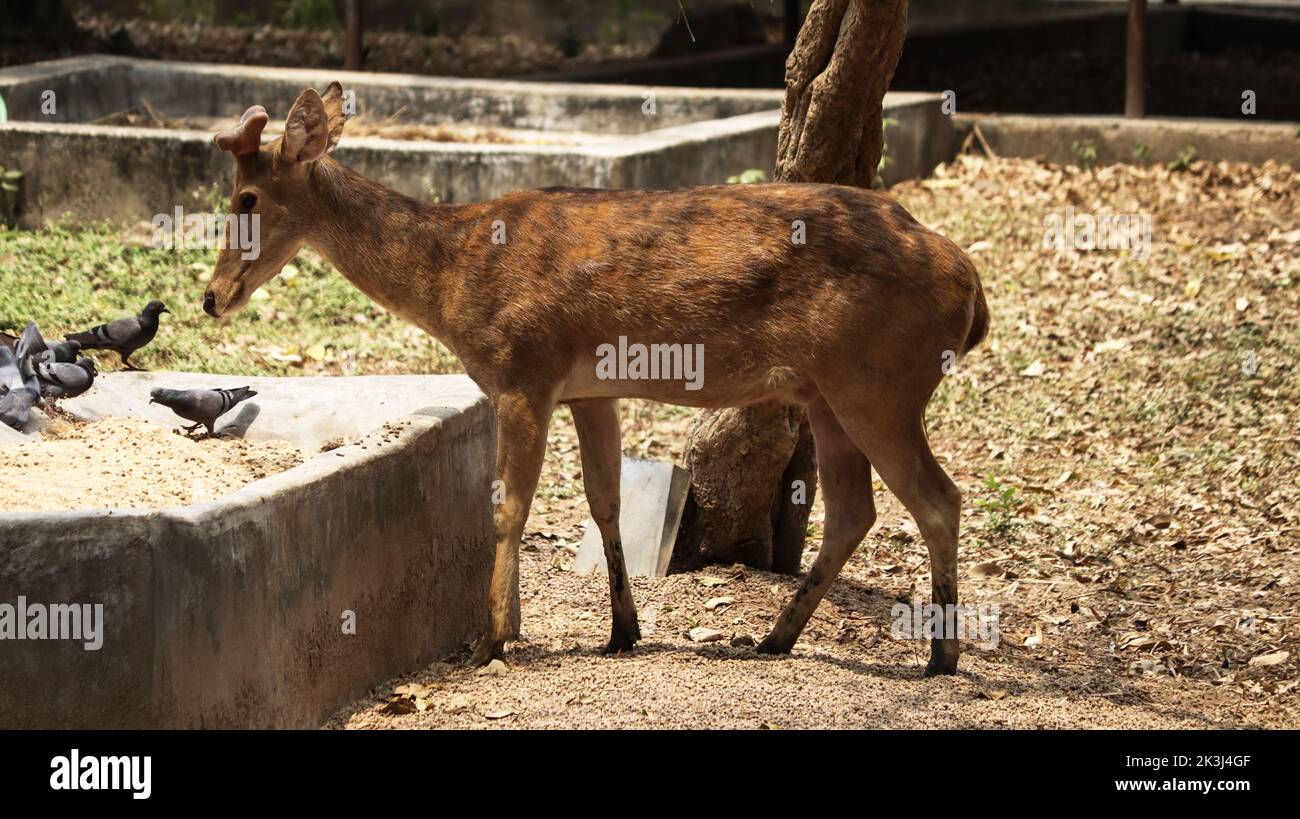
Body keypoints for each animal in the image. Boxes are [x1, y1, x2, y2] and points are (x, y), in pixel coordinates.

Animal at [206, 84, 989, 676]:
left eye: (246, 198)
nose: (213, 297)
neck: (451, 277)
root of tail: (971, 291)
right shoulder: (591, 389)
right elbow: (604, 501)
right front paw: (622, 630)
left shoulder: (523, 372)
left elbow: (509, 508)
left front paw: (494, 640)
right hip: (828, 395)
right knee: (857, 509)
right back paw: (774, 637)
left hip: (878, 384)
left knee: (938, 497)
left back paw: (941, 656)